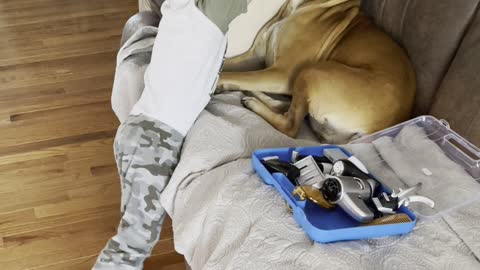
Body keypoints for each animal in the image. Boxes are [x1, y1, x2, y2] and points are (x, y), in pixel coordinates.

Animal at [218, 0, 416, 143]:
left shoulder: (281, 73)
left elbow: (231, 74)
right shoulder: (254, 56)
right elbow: (227, 66)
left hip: (310, 72)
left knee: (290, 126)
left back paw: (254, 103)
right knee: (287, 108)